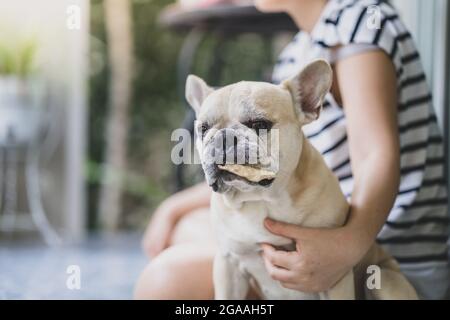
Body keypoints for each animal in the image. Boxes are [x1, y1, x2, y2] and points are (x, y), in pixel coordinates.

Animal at [185, 58, 416, 300]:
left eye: (260, 124)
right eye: (203, 129)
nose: (224, 136)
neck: (261, 200)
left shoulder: (333, 273)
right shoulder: (228, 265)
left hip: (384, 280)